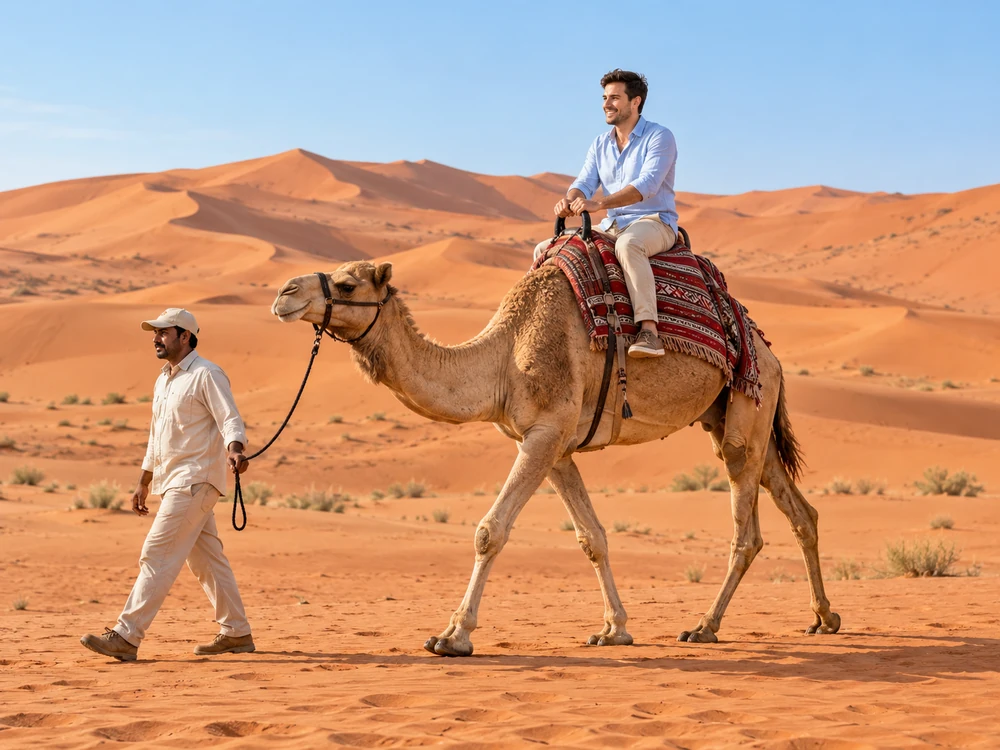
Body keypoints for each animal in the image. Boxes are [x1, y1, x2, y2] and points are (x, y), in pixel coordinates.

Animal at [271, 259, 841, 656]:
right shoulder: (556, 445)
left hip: (748, 405)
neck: (501, 360)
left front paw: (453, 636)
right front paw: (614, 630)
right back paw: (823, 617)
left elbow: (490, 530)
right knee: (801, 511)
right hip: (731, 415)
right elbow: (593, 538)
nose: (283, 294)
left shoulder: (545, 432)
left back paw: (704, 627)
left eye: (347, 285)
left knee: (748, 532)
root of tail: (770, 351)